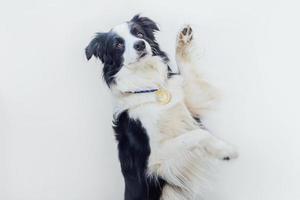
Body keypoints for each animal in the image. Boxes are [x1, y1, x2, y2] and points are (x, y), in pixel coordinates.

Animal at [85, 14, 238, 200]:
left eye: (139, 33)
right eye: (118, 44)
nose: (140, 44)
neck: (149, 86)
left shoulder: (191, 107)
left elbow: (187, 74)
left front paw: (183, 40)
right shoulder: (154, 160)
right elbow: (198, 134)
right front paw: (226, 151)